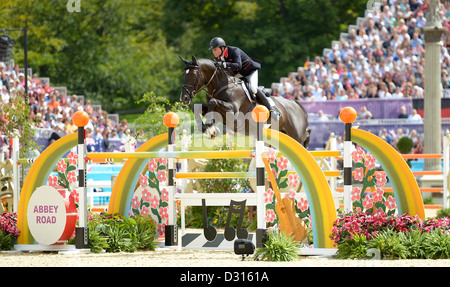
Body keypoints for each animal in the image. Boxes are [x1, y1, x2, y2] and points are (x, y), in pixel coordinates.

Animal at [178, 54, 312, 148]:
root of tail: (295, 103)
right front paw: (208, 131)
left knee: (306, 135)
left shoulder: (233, 110)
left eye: (194, 75)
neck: (222, 85)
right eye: (183, 74)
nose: (184, 98)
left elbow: (213, 102)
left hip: (296, 134)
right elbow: (198, 108)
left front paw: (210, 124)